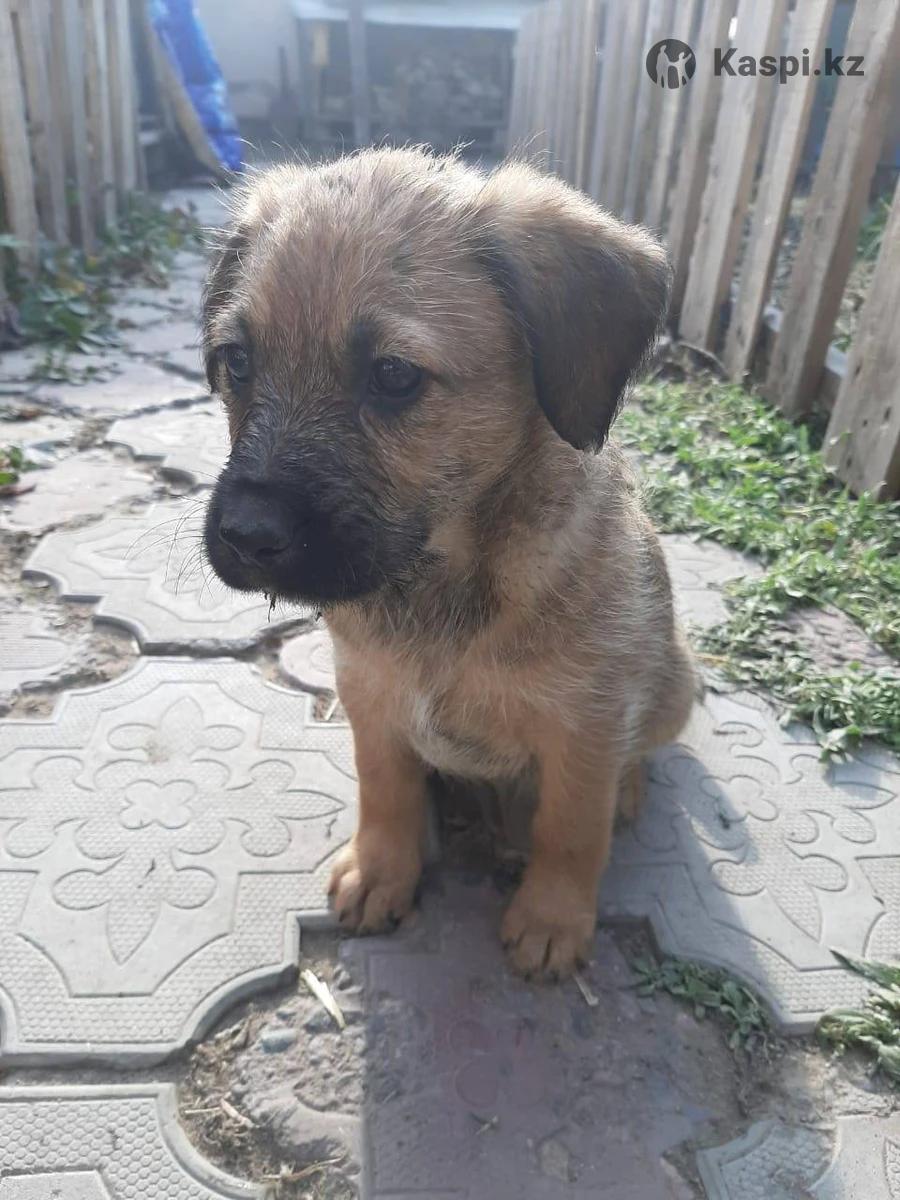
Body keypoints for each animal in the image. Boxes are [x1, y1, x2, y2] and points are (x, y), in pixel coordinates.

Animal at [202, 148, 696, 980]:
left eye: (394, 376)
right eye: (237, 361)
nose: (244, 534)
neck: (444, 584)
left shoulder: (587, 722)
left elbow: (571, 826)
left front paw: (552, 918)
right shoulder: (370, 694)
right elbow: (386, 789)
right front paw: (381, 871)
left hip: (677, 685)